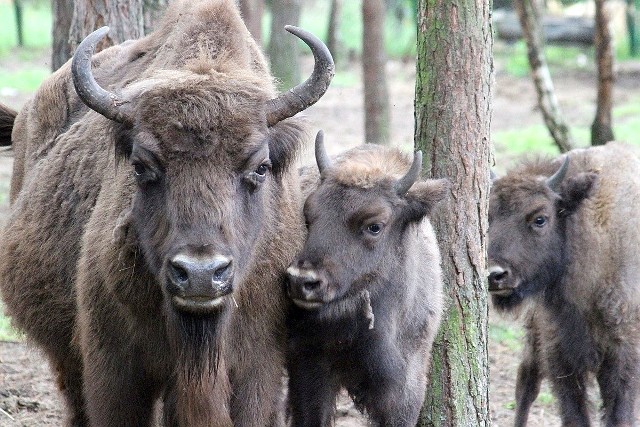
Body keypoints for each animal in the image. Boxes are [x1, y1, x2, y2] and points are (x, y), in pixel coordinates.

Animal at [1, 0, 336, 427]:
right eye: (141, 166)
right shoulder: (114, 369)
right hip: (66, 354)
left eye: (260, 167)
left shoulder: (257, 366)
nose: (200, 274)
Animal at [488, 142, 640, 426]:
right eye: (487, 217)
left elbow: (619, 413)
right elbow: (574, 414)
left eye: (540, 218)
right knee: (526, 384)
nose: (494, 275)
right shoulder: (560, 355)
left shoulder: (623, 354)